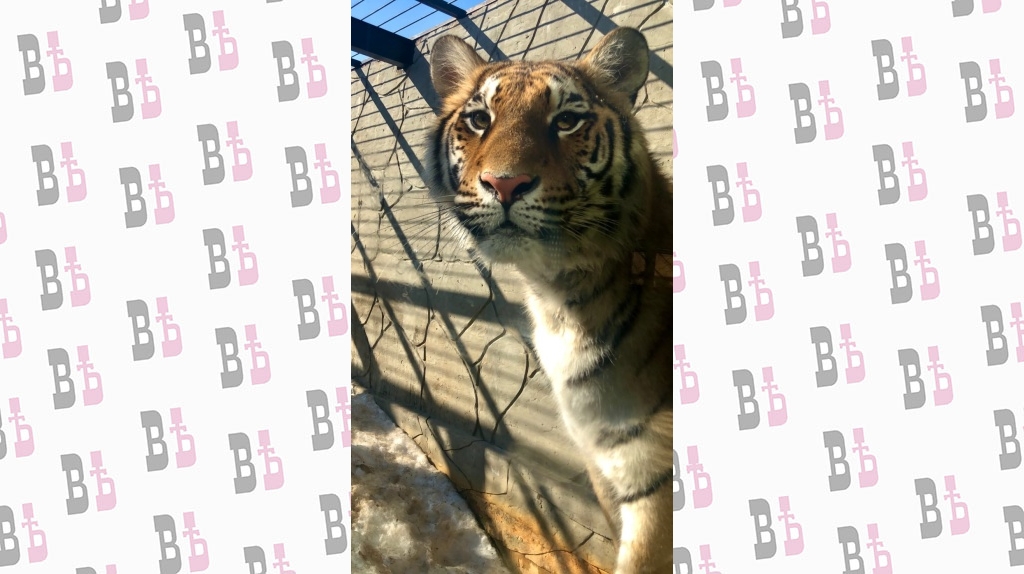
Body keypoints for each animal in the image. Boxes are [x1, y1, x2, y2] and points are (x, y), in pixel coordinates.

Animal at [424, 27, 673, 573]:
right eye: (479, 119)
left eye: (566, 121)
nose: (504, 184)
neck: (559, 295)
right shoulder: (602, 456)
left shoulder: (654, 477)